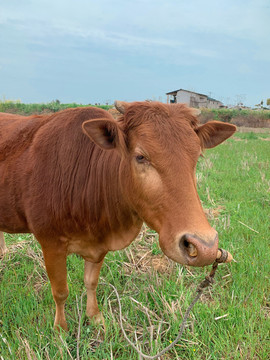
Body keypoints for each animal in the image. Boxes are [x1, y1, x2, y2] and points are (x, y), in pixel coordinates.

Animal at [0, 101, 236, 330]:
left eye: (196, 158)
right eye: (140, 156)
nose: (205, 247)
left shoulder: (99, 244)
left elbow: (91, 282)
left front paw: (95, 318)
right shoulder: (50, 243)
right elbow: (60, 291)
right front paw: (60, 329)